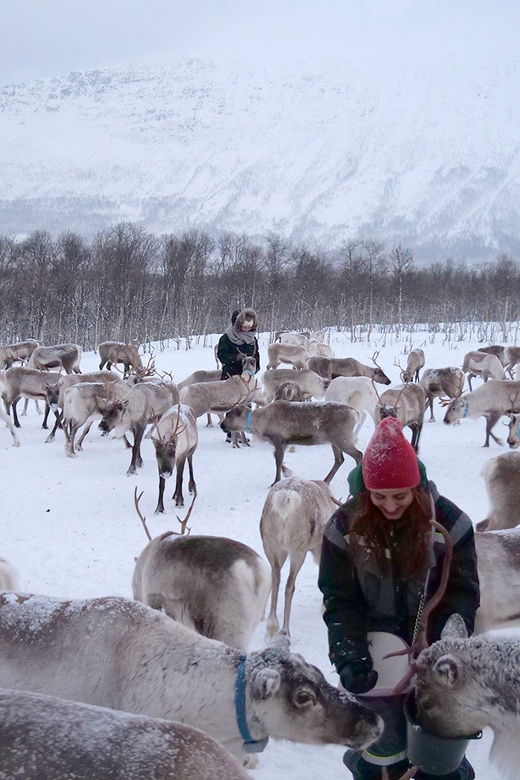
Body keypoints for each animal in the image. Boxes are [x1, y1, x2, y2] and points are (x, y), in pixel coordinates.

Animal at [221, 400, 362, 485]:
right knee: (339, 459)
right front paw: (288, 472)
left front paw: (275, 481)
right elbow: (277, 458)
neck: (260, 422)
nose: (222, 425)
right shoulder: (283, 443)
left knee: (358, 455)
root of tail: (355, 412)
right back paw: (325, 480)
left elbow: (277, 460)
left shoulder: (279, 439)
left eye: (228, 415)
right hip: (334, 441)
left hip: (342, 438)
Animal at [260, 477, 338, 638]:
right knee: (290, 585)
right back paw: (285, 630)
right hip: (298, 548)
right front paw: (324, 607)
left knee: (275, 576)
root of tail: (284, 499)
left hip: (272, 544)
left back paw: (271, 626)